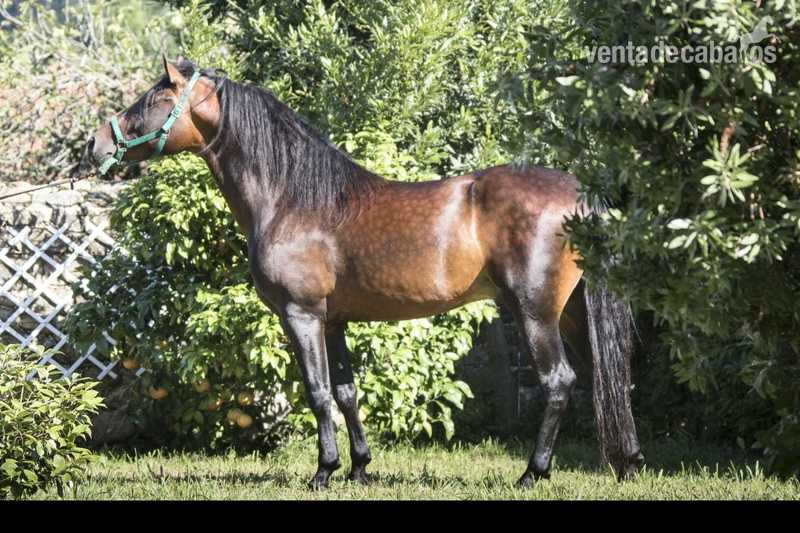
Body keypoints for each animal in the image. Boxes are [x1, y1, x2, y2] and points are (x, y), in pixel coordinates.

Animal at [87, 56, 643, 489]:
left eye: (151, 100)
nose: (96, 145)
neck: (292, 200)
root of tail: (578, 193)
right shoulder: (333, 320)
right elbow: (347, 393)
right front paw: (358, 469)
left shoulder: (301, 316)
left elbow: (317, 393)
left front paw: (323, 472)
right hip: (571, 313)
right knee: (607, 379)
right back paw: (629, 464)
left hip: (534, 312)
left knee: (559, 382)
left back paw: (532, 473)